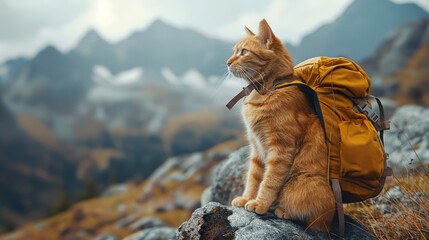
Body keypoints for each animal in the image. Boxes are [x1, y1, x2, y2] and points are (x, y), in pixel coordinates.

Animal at [226, 18, 336, 231]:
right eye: (234, 51)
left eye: (243, 52)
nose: (227, 63)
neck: (268, 88)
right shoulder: (256, 148)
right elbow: (254, 177)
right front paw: (247, 198)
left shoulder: (280, 149)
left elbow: (269, 181)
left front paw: (260, 203)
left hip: (304, 184)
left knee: (317, 221)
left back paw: (282, 210)